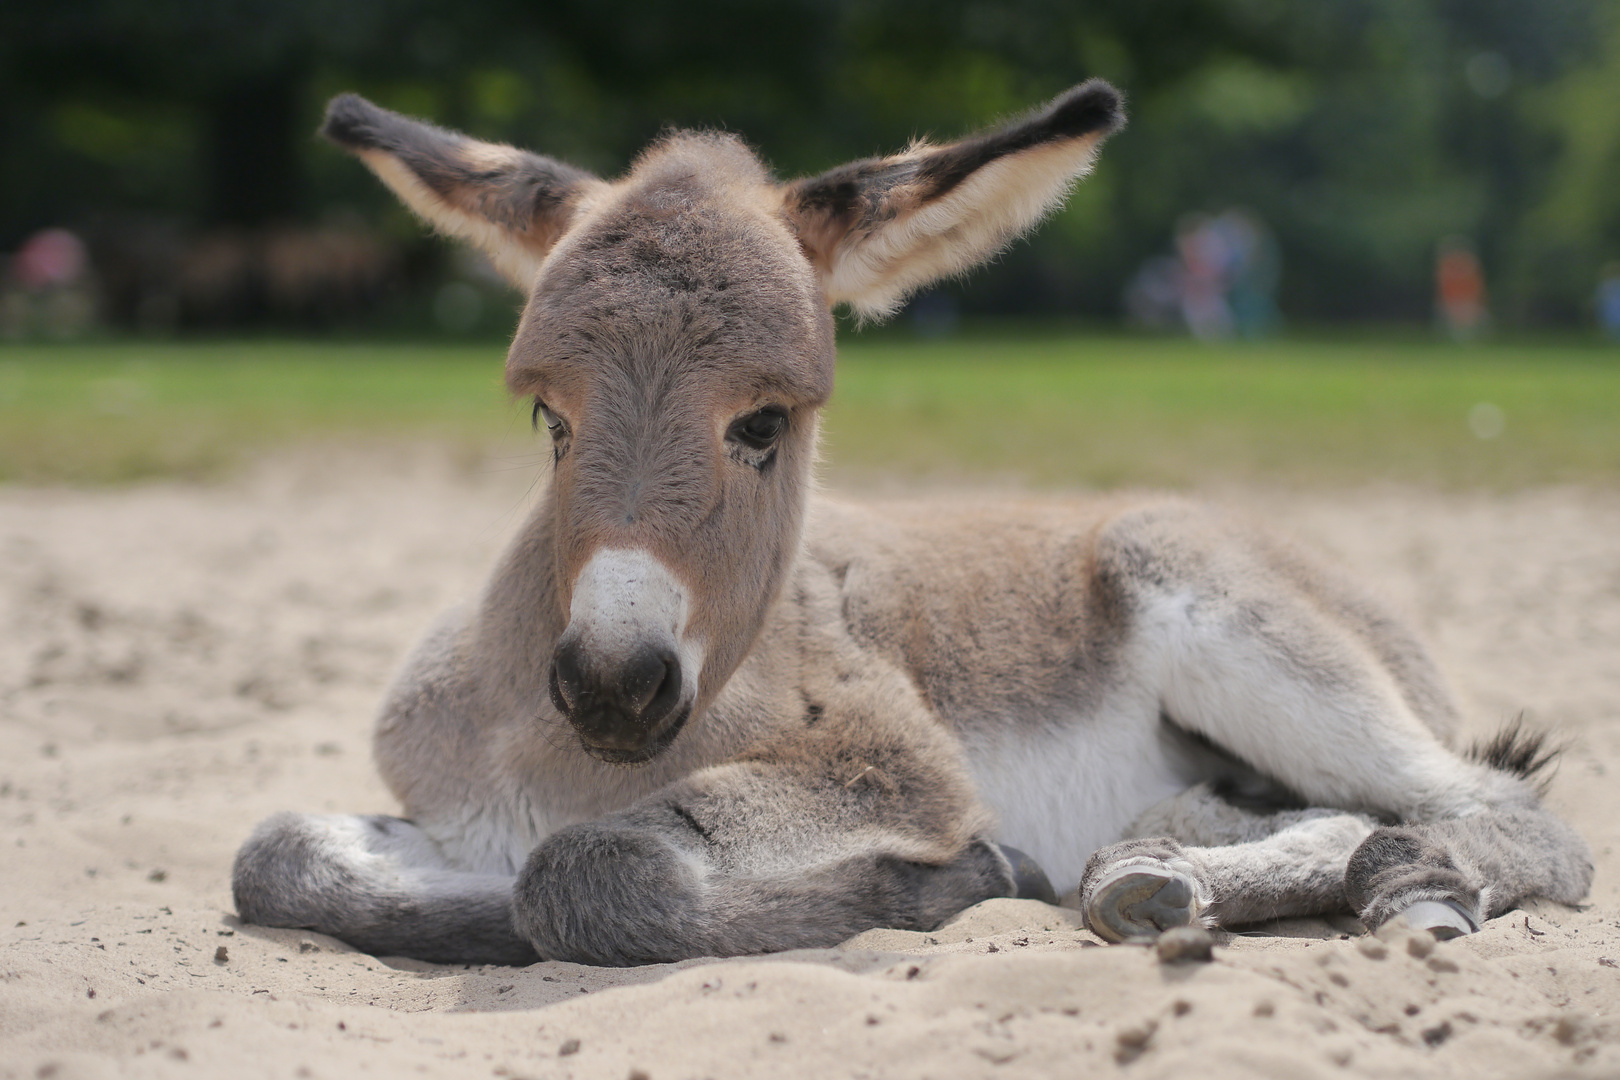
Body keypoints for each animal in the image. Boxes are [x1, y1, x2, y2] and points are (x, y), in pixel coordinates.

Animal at [234, 82, 1587, 965]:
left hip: (1241, 626)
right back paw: (1165, 870)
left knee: (1500, 813)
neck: (562, 758)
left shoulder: (893, 765)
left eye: (765, 423)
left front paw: (965, 878)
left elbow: (585, 869)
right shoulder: (445, 808)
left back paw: (1369, 890)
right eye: (546, 419)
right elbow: (276, 856)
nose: (613, 684)